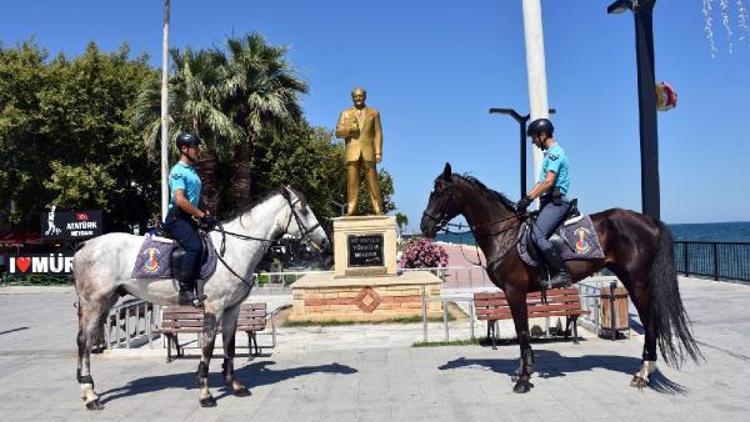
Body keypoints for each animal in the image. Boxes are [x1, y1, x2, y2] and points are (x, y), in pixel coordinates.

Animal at [74, 187, 328, 408]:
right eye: (303, 209)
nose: (325, 241)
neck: (235, 248)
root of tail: (85, 244)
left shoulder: (233, 308)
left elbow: (229, 346)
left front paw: (234, 385)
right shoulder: (214, 307)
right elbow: (208, 346)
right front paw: (205, 393)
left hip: (106, 302)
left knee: (87, 339)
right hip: (94, 303)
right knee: (85, 341)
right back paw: (90, 395)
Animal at [424, 163, 704, 394]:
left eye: (438, 192)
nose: (425, 226)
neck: (505, 234)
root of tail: (651, 222)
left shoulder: (515, 291)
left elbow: (523, 331)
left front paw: (524, 379)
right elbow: (520, 331)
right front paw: (521, 372)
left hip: (637, 282)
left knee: (651, 324)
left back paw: (643, 374)